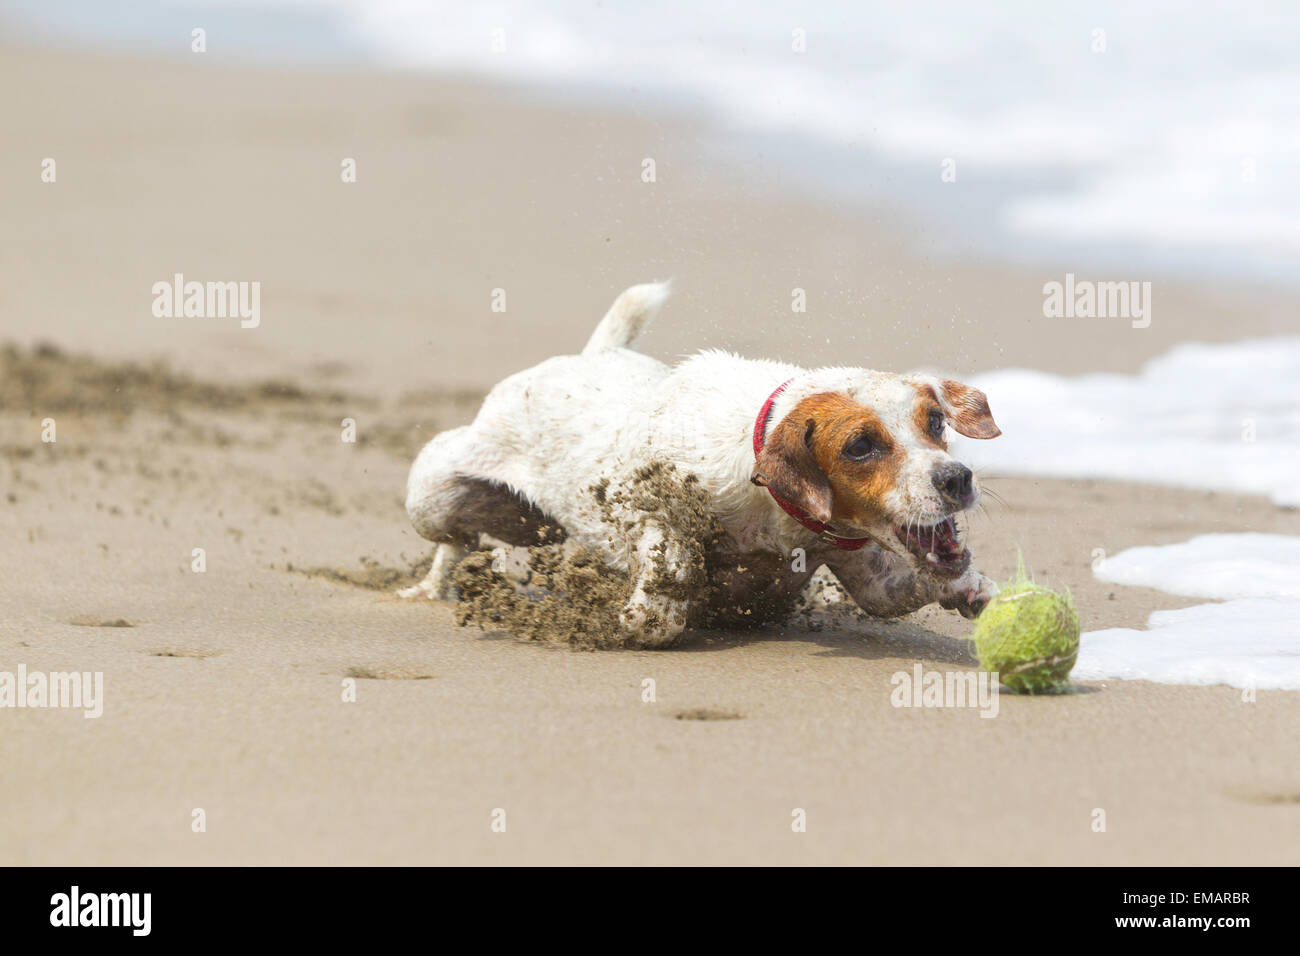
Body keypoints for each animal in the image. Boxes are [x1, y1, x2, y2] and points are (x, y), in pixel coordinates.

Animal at [400, 280, 998, 647]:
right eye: (860, 446)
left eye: (935, 422)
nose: (956, 478)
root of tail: (591, 355)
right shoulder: (643, 504)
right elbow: (671, 571)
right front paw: (634, 618)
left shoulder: (868, 574)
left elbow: (905, 589)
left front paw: (973, 587)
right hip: (436, 493)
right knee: (452, 539)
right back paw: (431, 587)